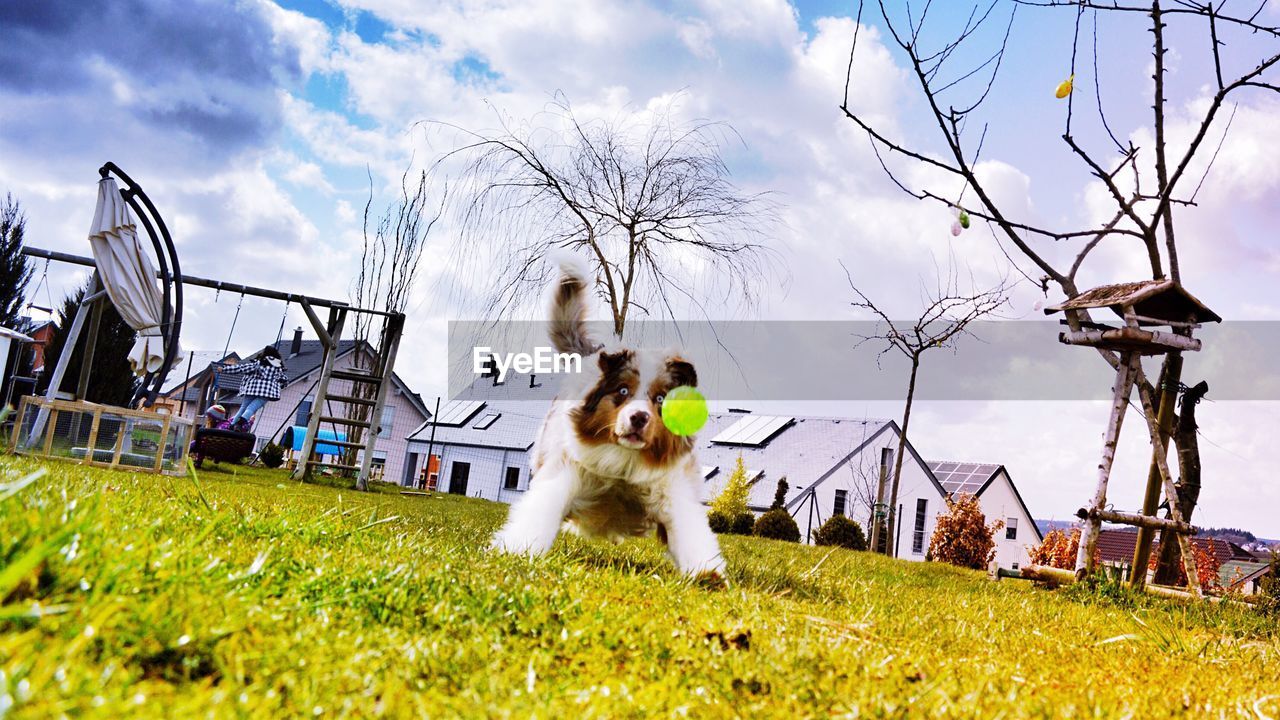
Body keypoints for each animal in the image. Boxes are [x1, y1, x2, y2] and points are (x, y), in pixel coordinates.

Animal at [488, 254, 727, 573]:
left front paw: (706, 574)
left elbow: (690, 534)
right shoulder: (566, 471)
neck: (624, 466)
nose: (639, 418)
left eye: (660, 399)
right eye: (623, 391)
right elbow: (541, 511)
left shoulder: (673, 491)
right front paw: (516, 551)